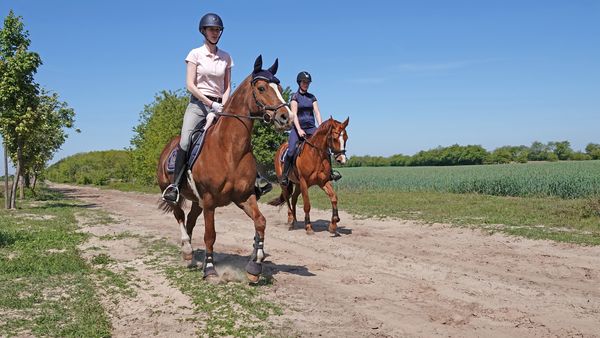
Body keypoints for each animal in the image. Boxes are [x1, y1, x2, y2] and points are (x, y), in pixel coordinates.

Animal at [157, 55, 290, 282]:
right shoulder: (210, 201)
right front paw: (210, 269)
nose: (285, 117)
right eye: (262, 88)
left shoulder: (244, 197)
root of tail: (168, 147)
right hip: (173, 193)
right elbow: (210, 235)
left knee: (190, 221)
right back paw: (187, 250)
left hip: (197, 201)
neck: (229, 150)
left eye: (279, 87)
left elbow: (260, 222)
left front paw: (255, 266)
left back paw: (189, 255)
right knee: (180, 217)